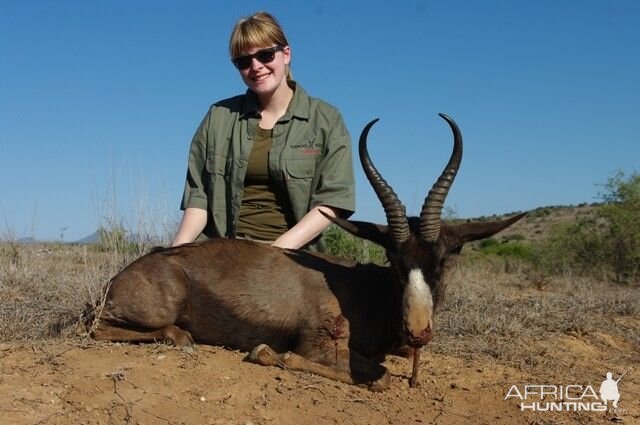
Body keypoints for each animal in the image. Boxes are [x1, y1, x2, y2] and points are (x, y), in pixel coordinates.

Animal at [95, 114, 524, 390]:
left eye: (444, 260)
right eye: (394, 262)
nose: (417, 331)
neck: (368, 293)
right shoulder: (318, 346)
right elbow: (380, 376)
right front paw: (269, 354)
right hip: (150, 312)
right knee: (99, 327)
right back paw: (181, 337)